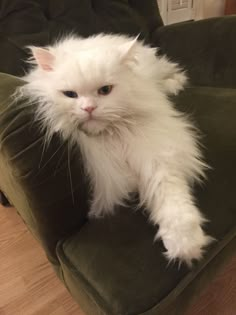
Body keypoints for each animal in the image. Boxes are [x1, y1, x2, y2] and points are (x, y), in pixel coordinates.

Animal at [19, 34, 212, 266]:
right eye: (70, 94)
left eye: (105, 90)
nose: (89, 108)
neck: (112, 138)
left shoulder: (157, 154)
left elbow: (173, 201)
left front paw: (185, 245)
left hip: (158, 69)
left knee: (174, 73)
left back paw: (171, 85)